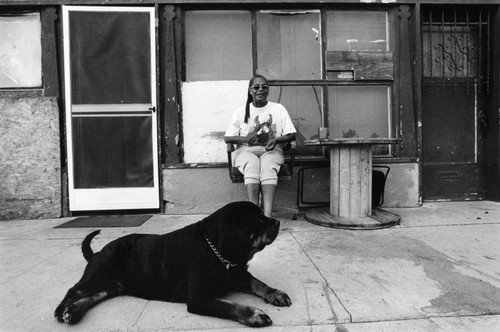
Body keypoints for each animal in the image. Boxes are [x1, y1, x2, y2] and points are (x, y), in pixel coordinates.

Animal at [53, 201, 292, 328]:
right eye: (259, 220)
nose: (277, 222)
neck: (216, 250)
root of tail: (98, 252)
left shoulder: (238, 274)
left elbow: (258, 283)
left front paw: (276, 293)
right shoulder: (198, 299)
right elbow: (230, 305)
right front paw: (254, 314)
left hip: (113, 286)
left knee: (95, 295)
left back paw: (74, 311)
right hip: (99, 272)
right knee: (75, 289)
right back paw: (63, 309)